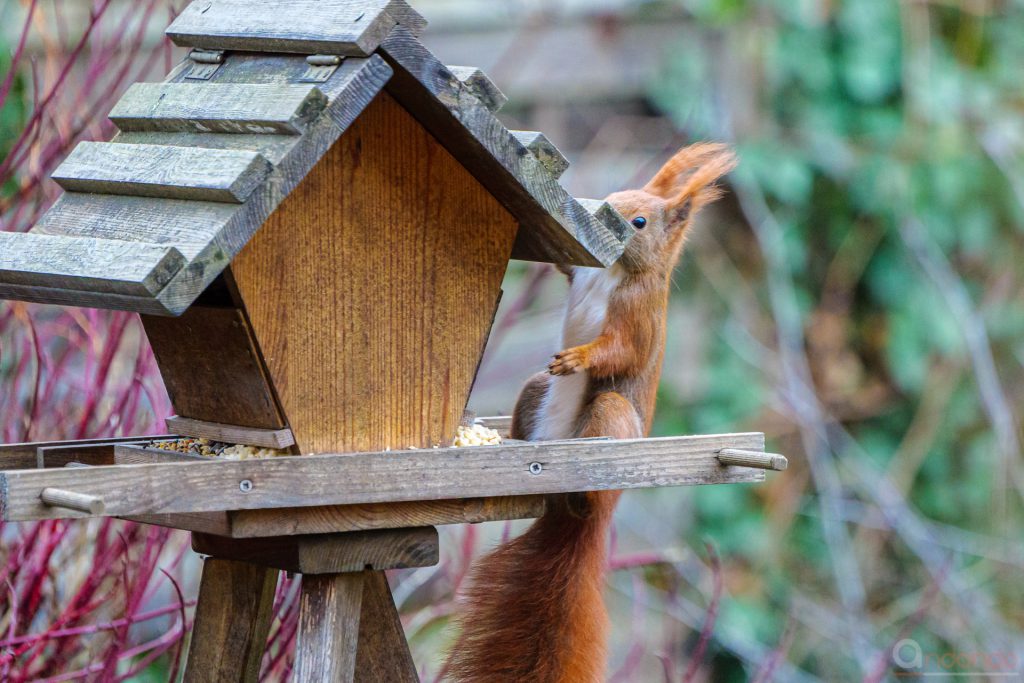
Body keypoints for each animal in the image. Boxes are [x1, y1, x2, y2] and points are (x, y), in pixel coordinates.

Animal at [446, 141, 737, 679]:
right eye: (612, 196)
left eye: (639, 222)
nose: (601, 211)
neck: (618, 273)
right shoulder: (582, 272)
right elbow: (567, 264)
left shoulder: (639, 314)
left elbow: (619, 350)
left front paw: (579, 358)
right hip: (534, 391)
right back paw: (516, 444)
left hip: (609, 415)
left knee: (598, 459)